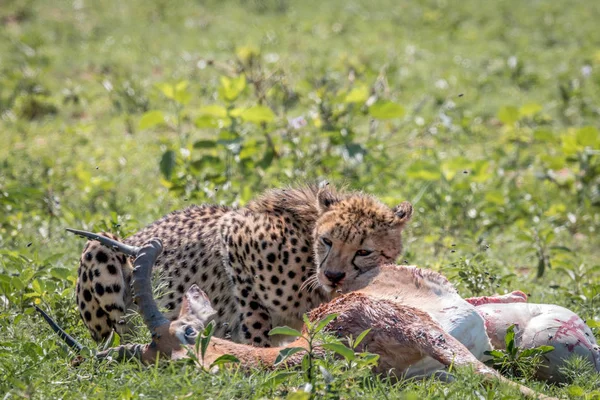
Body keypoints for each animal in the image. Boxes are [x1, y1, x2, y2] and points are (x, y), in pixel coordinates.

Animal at [74, 183, 412, 346]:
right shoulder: (234, 233)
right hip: (99, 248)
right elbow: (254, 316)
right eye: (327, 241)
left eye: (364, 251)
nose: (333, 275)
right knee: (112, 335)